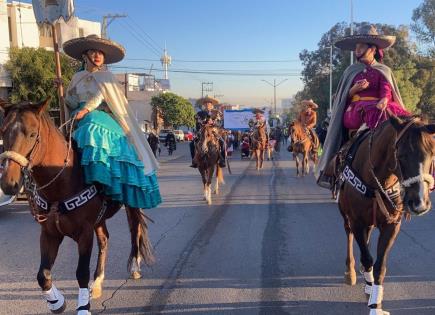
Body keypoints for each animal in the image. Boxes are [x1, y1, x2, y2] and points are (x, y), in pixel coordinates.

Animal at [0, 100, 155, 314]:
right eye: (3, 131)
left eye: (32, 134)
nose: (9, 183)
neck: (61, 183)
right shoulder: (49, 233)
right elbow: (42, 275)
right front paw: (56, 302)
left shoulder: (84, 233)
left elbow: (81, 272)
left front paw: (83, 307)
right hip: (99, 220)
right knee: (105, 240)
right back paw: (97, 283)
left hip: (132, 203)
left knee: (135, 231)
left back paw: (134, 267)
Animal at [340, 116, 435, 315]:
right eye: (401, 155)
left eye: (432, 153)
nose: (420, 203)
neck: (377, 183)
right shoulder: (357, 222)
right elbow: (367, 258)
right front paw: (372, 299)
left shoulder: (391, 225)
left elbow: (379, 266)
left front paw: (375, 302)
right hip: (346, 216)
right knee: (349, 236)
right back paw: (350, 271)